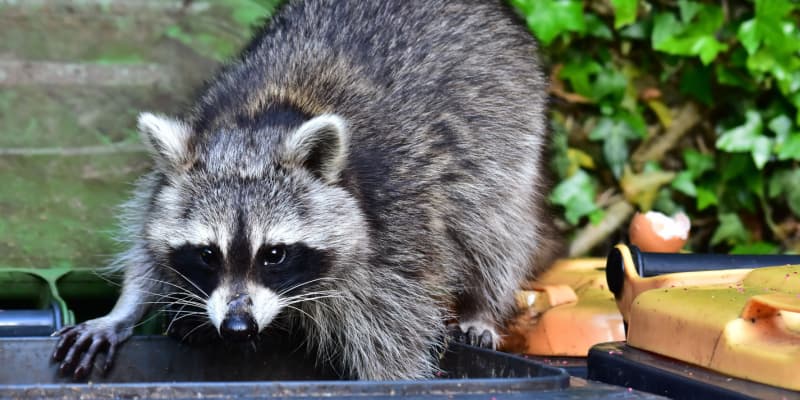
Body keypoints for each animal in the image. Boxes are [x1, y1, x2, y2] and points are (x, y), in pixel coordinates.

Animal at [52, 0, 554, 380]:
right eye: (208, 254)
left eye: (274, 254)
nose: (238, 327)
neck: (259, 125)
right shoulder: (169, 180)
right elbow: (147, 248)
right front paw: (124, 308)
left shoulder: (400, 229)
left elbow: (398, 337)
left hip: (507, 133)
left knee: (494, 225)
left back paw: (482, 306)